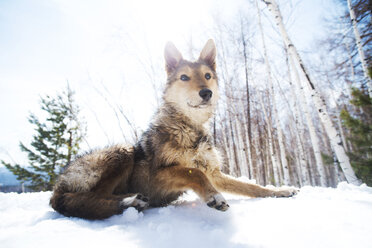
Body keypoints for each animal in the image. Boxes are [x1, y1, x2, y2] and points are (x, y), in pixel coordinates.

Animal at [50, 39, 300, 220]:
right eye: (184, 77)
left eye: (208, 76)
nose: (206, 93)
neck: (190, 128)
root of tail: (58, 182)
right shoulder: (158, 175)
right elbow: (194, 172)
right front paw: (214, 197)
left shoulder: (215, 174)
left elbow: (252, 186)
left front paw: (280, 191)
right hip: (123, 151)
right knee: (88, 197)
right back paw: (130, 200)